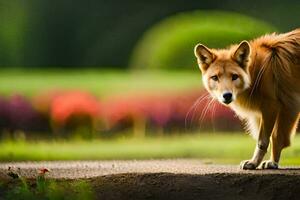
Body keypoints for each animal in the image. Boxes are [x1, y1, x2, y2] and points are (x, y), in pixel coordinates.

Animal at [193, 28, 300, 170]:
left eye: (234, 76)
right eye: (215, 77)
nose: (227, 95)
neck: (257, 72)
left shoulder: (277, 106)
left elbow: (269, 139)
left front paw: (266, 163)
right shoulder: (264, 113)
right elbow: (269, 139)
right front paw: (263, 162)